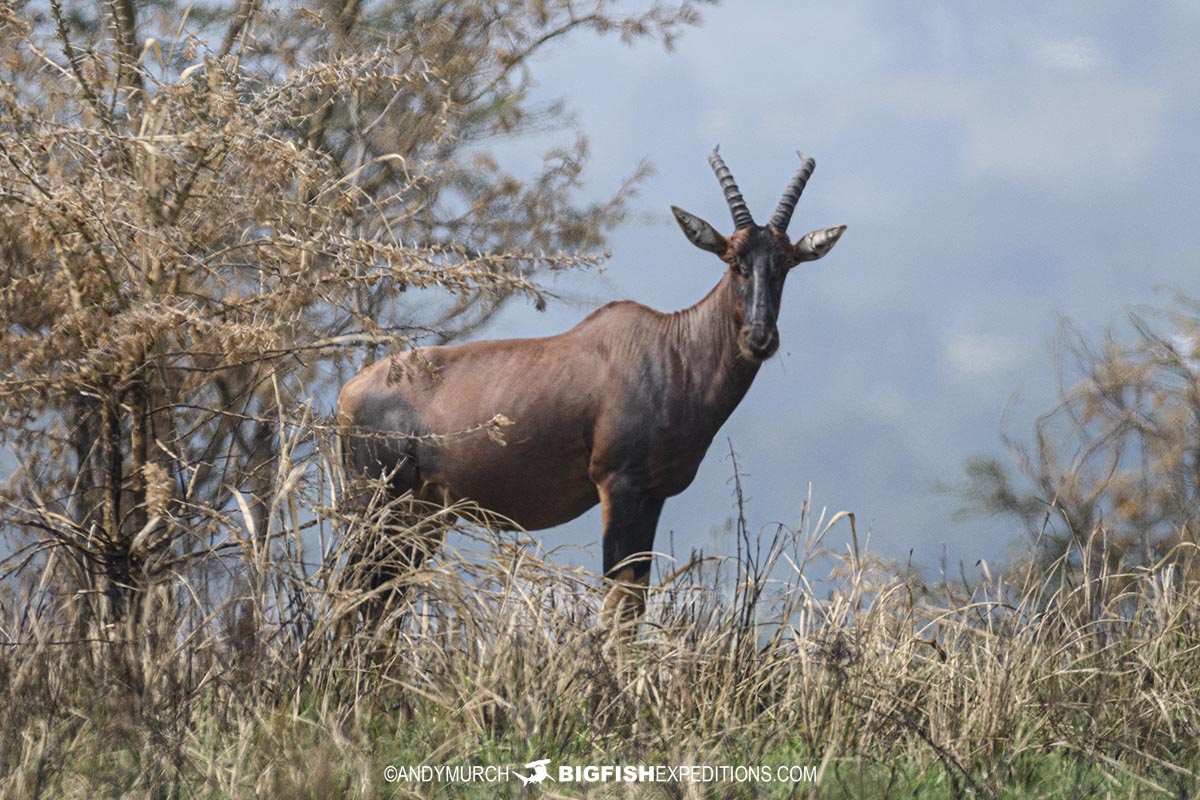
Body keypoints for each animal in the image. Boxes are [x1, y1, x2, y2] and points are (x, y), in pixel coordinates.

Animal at [338, 149, 844, 623]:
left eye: (786, 262)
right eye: (734, 260)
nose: (760, 338)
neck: (671, 348)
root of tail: (349, 393)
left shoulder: (653, 494)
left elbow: (634, 601)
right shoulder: (617, 485)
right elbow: (617, 599)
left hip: (421, 516)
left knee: (384, 597)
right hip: (378, 504)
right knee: (353, 591)